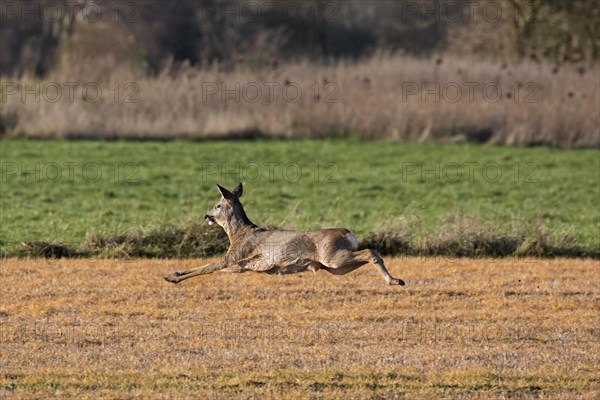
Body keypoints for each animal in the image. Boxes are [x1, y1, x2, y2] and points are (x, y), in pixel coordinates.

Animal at [164, 183, 406, 286]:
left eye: (217, 205)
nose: (206, 216)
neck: (238, 234)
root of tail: (348, 233)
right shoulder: (238, 266)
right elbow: (204, 266)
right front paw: (175, 271)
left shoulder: (234, 258)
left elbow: (206, 268)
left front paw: (173, 278)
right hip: (337, 267)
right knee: (368, 254)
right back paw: (395, 280)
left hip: (333, 257)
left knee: (371, 251)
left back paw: (395, 280)